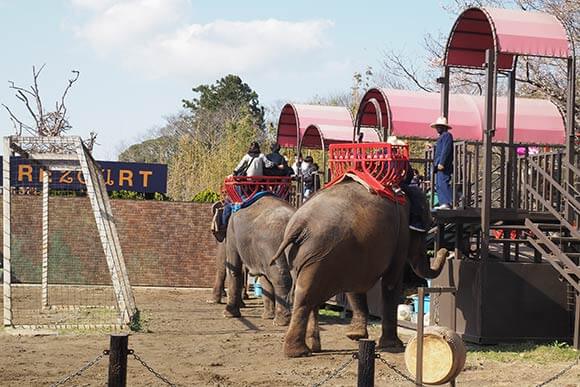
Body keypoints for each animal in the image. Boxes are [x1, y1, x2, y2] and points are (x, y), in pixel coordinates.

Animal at [213, 196, 296, 326]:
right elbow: (264, 279)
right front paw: (267, 317)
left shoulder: (232, 232)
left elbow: (234, 269)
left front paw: (228, 314)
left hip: (273, 246)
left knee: (280, 279)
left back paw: (281, 322)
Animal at [270, 179, 446, 358]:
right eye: (425, 230)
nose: (443, 251)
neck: (404, 194)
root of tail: (299, 225)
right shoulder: (400, 237)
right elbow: (391, 283)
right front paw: (392, 345)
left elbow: (355, 284)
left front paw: (355, 336)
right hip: (318, 255)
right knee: (306, 296)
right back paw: (298, 352)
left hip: (300, 256)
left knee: (307, 295)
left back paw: (313, 348)